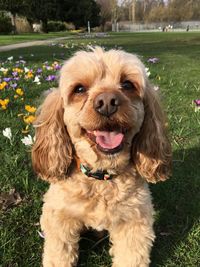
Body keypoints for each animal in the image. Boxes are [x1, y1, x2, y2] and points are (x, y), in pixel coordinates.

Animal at [32, 48, 171, 267]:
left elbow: (131, 257)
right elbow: (59, 254)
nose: (107, 102)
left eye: (127, 84)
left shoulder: (134, 222)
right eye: (79, 89)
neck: (101, 177)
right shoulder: (58, 219)